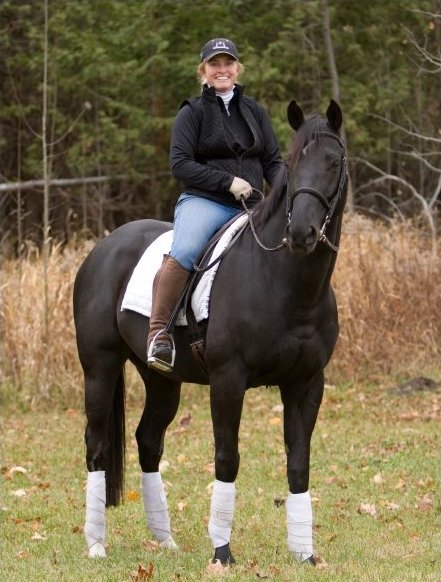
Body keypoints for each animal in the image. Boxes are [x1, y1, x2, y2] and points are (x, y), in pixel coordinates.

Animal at [73, 99, 348, 564]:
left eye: (334, 162)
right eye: (293, 165)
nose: (301, 233)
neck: (284, 283)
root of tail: (104, 248)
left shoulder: (307, 382)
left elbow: (299, 463)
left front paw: (305, 555)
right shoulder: (228, 379)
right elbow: (226, 458)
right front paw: (221, 552)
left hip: (161, 379)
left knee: (149, 441)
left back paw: (165, 540)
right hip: (100, 368)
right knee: (96, 444)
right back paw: (95, 545)